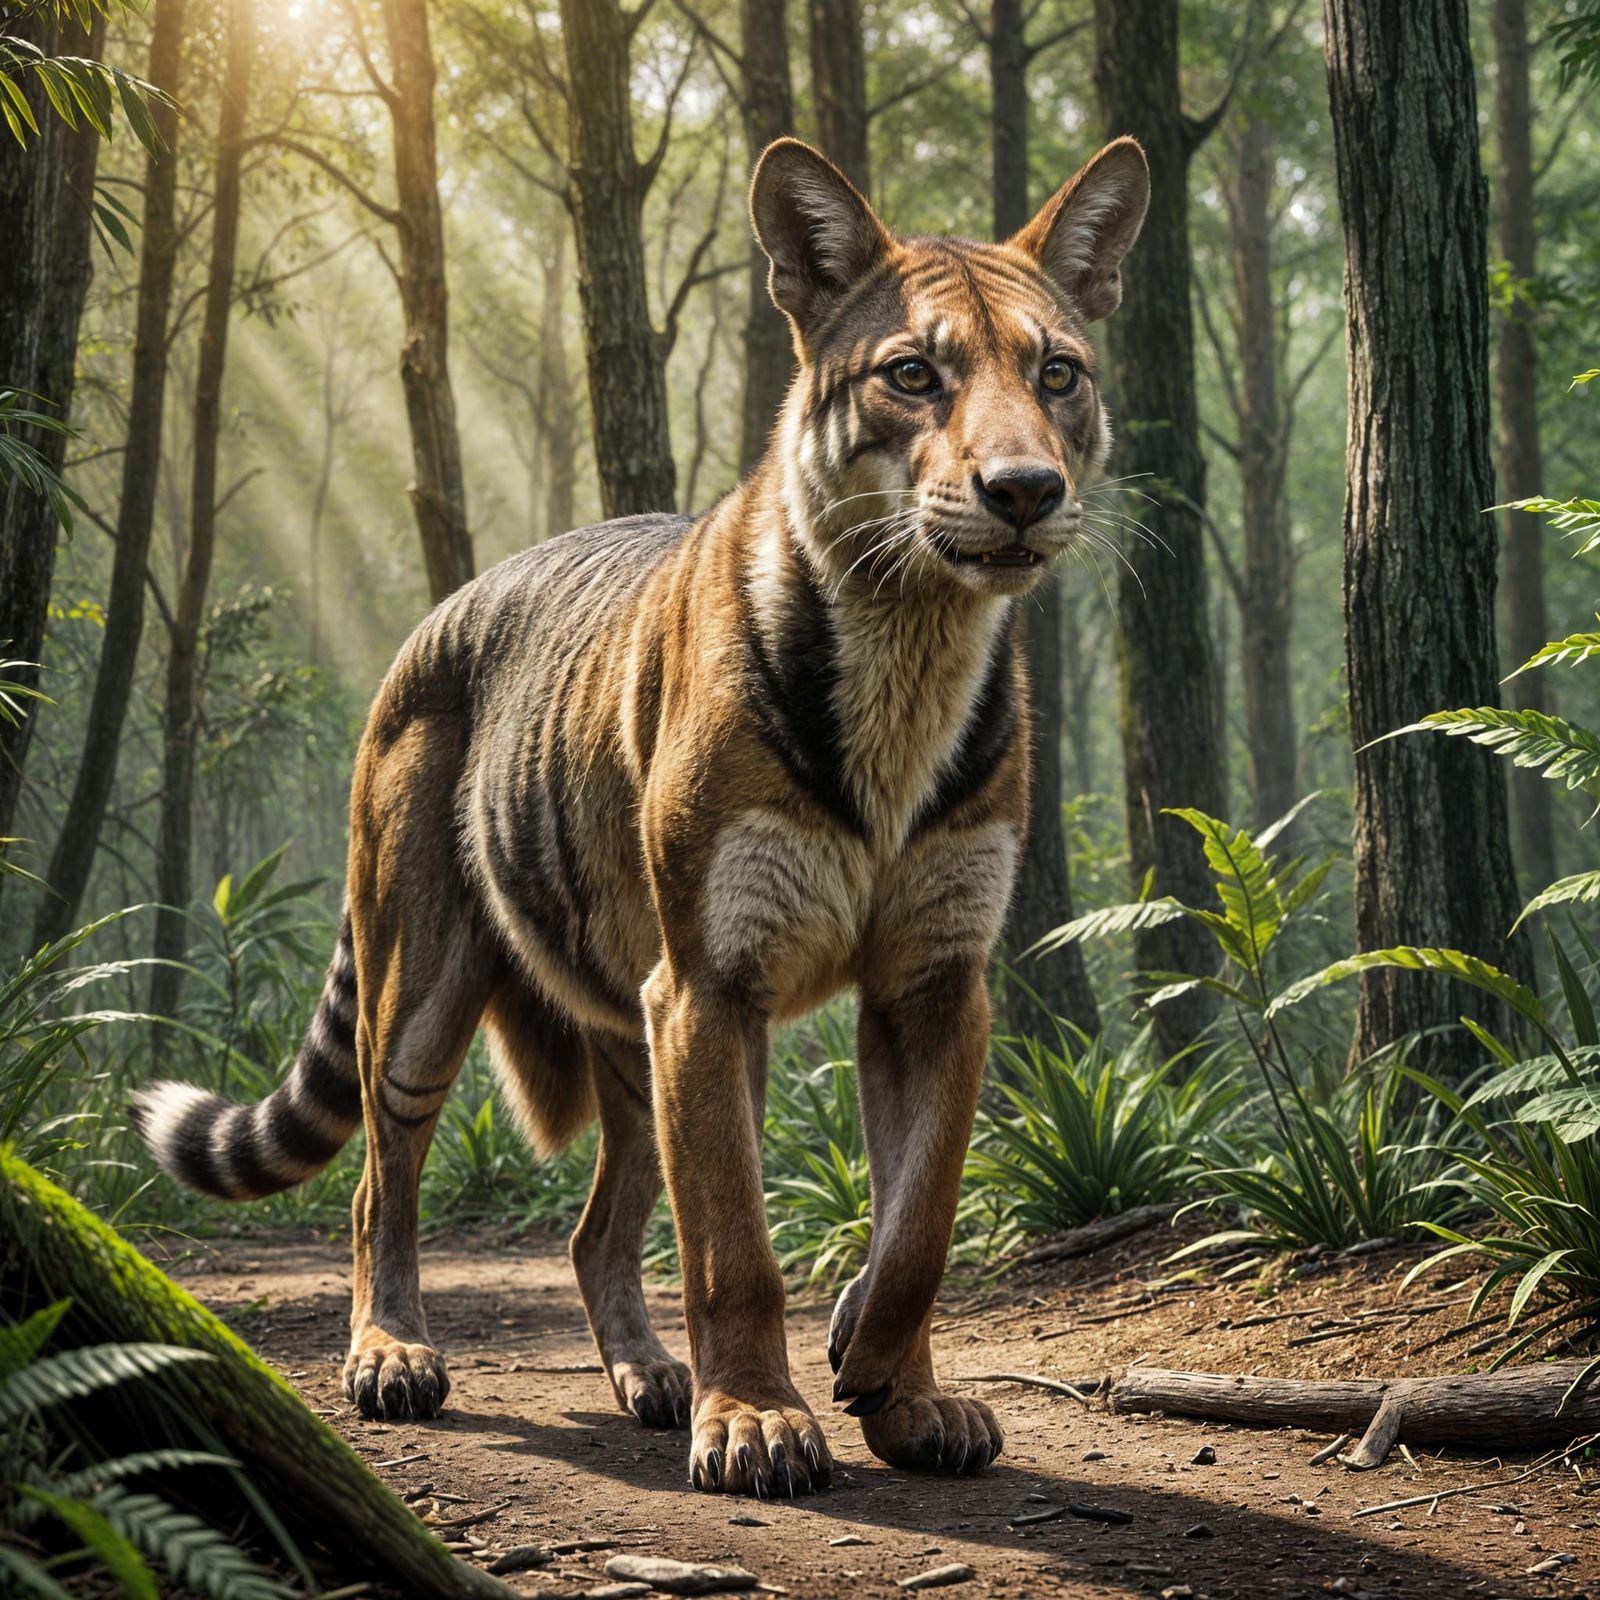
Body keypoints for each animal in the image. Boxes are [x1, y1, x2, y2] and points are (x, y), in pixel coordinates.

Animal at [133, 133, 1149, 1497]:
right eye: (912, 375)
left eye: (1056, 372)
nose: (1026, 489)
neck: (911, 641)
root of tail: (435, 614)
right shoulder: (714, 986)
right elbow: (735, 1244)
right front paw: (762, 1419)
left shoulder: (934, 981)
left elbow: (918, 1217)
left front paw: (895, 1385)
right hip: (425, 994)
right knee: (378, 1184)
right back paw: (393, 1354)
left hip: (628, 1022)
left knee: (594, 1223)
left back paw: (651, 1375)